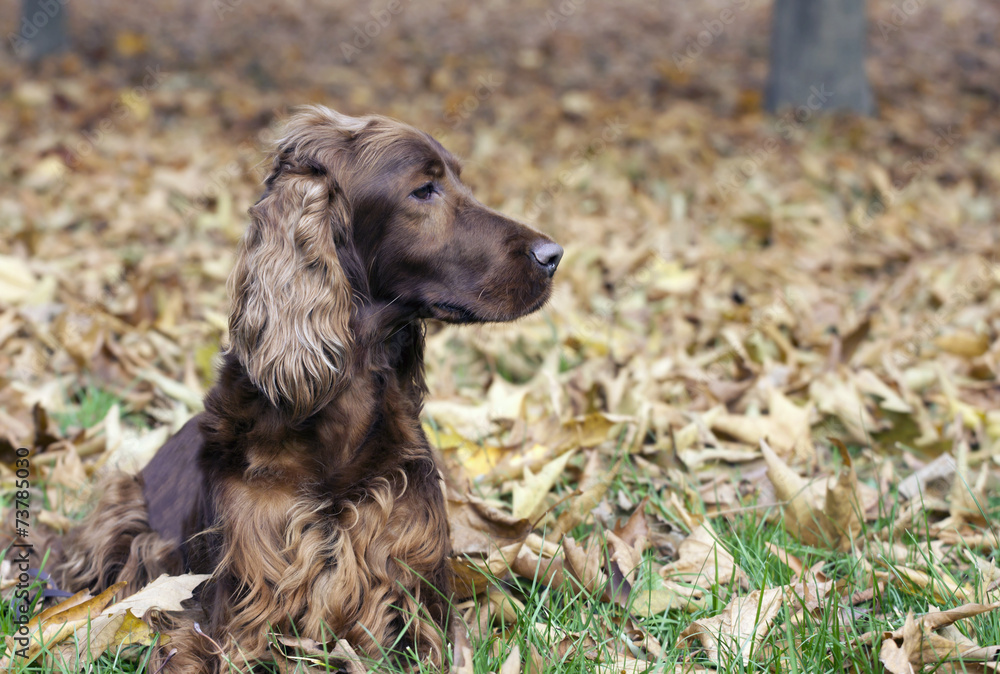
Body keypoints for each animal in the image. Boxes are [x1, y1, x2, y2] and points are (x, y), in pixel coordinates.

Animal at [52, 107, 564, 668]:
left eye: (459, 180)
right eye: (424, 189)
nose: (553, 254)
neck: (341, 417)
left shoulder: (415, 586)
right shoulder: (227, 614)